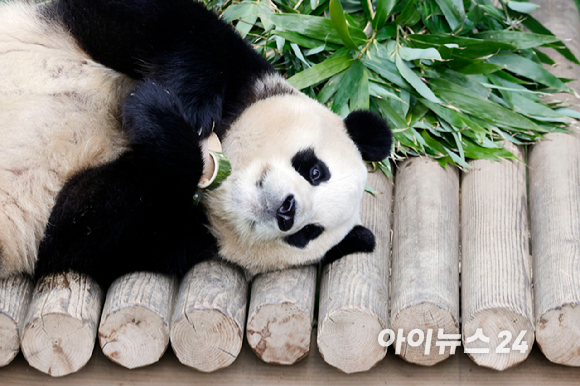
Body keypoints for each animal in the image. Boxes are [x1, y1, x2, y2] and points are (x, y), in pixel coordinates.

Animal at [0, 0, 392, 286]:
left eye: (307, 234)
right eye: (315, 170)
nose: (287, 212)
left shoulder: (167, 242)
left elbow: (83, 228)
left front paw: (156, 117)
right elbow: (170, 25)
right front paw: (189, 105)